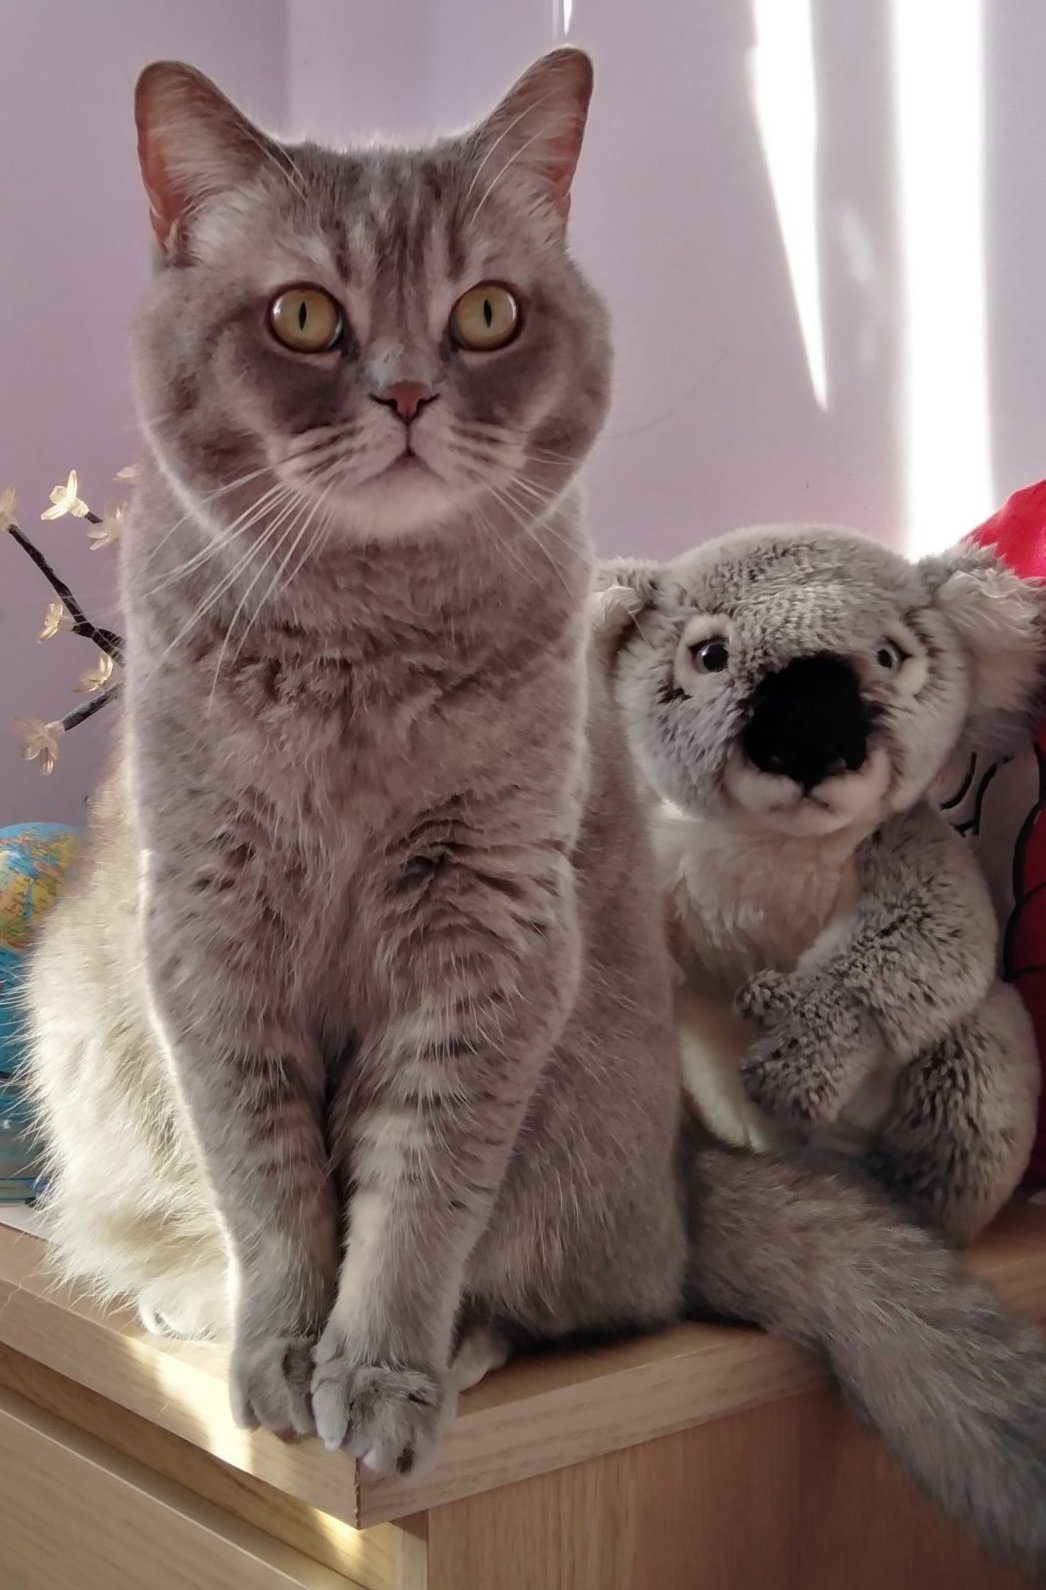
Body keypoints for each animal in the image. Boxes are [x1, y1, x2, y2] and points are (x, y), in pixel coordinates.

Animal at [24, 50, 1046, 1565]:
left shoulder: (489, 926)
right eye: (304, 315)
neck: (361, 649)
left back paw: (455, 1346)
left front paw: (375, 1371)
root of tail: (680, 1178)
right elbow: (269, 1181)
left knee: (581, 1295)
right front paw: (279, 1353)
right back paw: (188, 1302)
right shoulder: (211, 929)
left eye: (486, 311)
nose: (402, 394)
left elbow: (416, 1191)